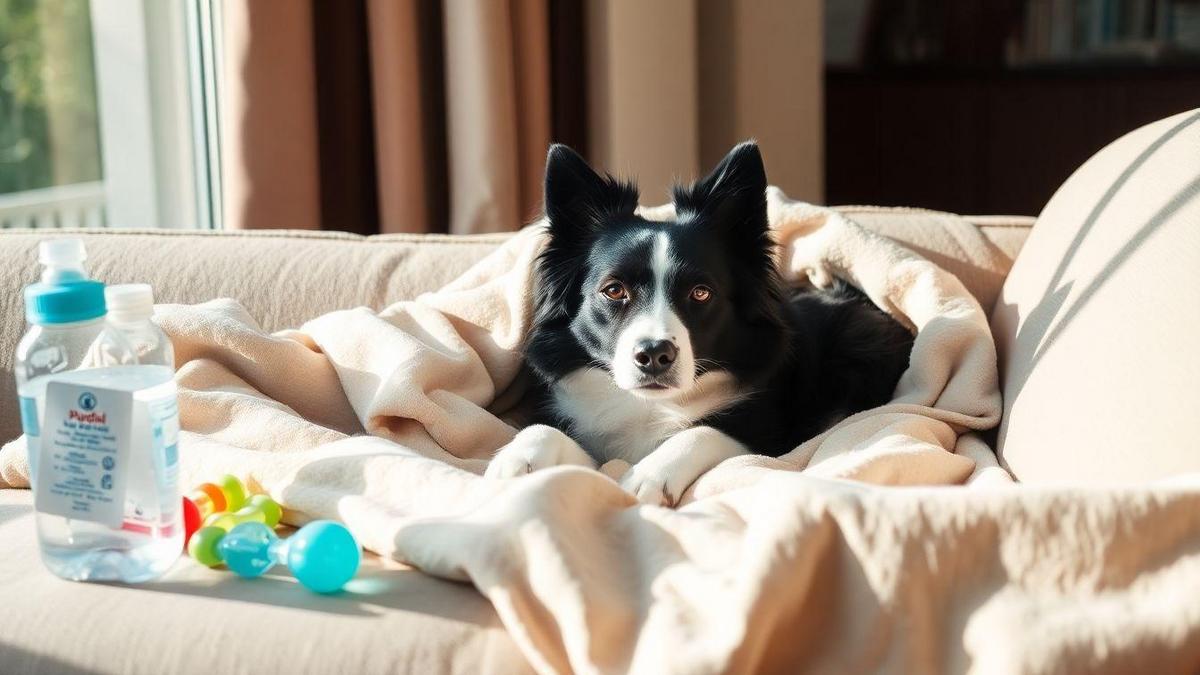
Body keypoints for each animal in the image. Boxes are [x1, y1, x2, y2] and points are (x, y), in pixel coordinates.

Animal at [482, 140, 912, 504]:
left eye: (701, 293)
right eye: (614, 290)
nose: (655, 355)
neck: (650, 406)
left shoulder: (771, 435)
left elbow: (703, 429)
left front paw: (647, 477)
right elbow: (543, 428)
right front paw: (514, 462)